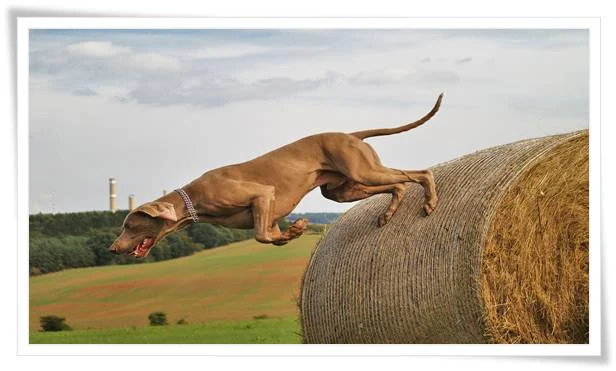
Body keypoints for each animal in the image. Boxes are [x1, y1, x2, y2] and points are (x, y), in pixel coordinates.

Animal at [107, 93, 442, 258]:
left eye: (129, 225)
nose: (112, 248)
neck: (194, 198)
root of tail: (351, 134)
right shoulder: (269, 215)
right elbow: (270, 237)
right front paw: (294, 232)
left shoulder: (262, 195)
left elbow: (260, 235)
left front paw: (297, 229)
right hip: (341, 190)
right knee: (399, 184)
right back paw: (388, 214)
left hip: (363, 171)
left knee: (419, 173)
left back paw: (430, 202)